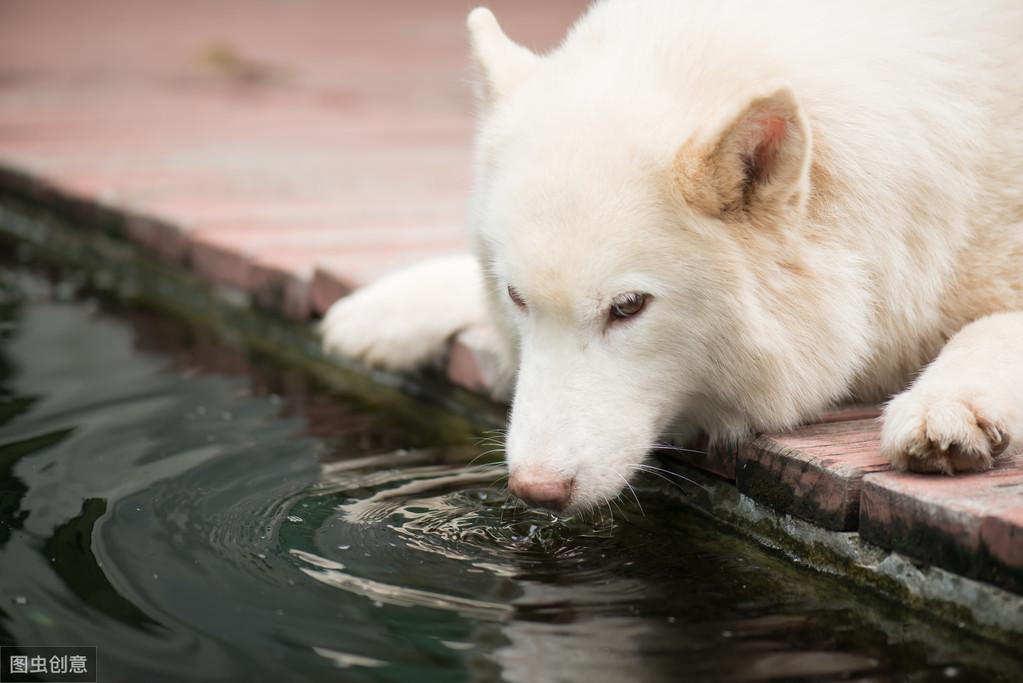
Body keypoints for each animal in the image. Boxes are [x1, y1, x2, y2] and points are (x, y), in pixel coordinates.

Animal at [321, 0, 1023, 511]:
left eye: (629, 307)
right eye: (516, 298)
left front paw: (949, 405)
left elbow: (993, 327)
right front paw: (386, 310)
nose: (535, 492)